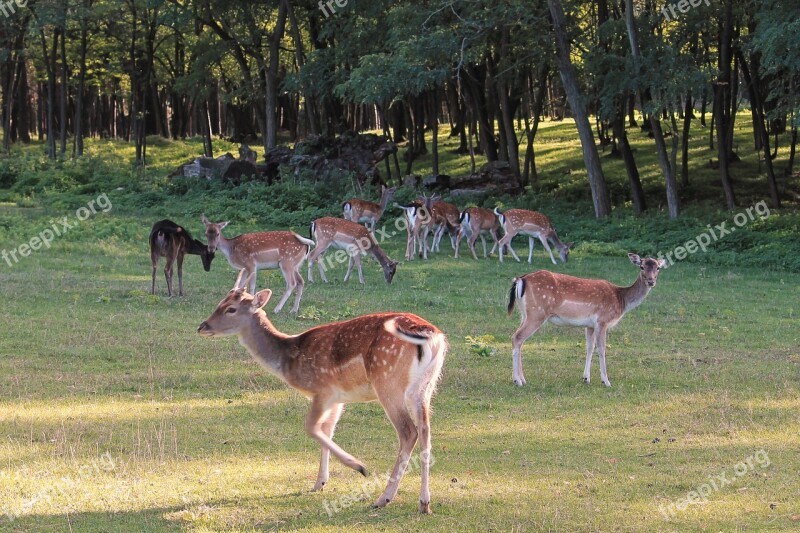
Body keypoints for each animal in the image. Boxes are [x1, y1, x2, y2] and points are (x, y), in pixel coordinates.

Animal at [198, 270, 450, 512]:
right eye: (220, 302)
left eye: (231, 309)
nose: (202, 326)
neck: (290, 359)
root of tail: (433, 336)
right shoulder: (339, 398)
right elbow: (327, 430)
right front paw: (320, 482)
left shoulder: (323, 390)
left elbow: (311, 427)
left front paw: (359, 466)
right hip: (426, 387)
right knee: (426, 431)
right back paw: (424, 503)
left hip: (388, 382)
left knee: (409, 431)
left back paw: (383, 498)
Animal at [506, 254, 668, 386]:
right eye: (642, 266)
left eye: (658, 268)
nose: (651, 281)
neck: (621, 299)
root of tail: (521, 279)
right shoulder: (602, 320)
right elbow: (602, 348)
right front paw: (606, 381)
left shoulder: (589, 325)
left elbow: (589, 347)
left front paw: (586, 378)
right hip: (537, 313)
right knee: (517, 337)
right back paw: (517, 380)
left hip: (524, 314)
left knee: (520, 340)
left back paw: (523, 379)